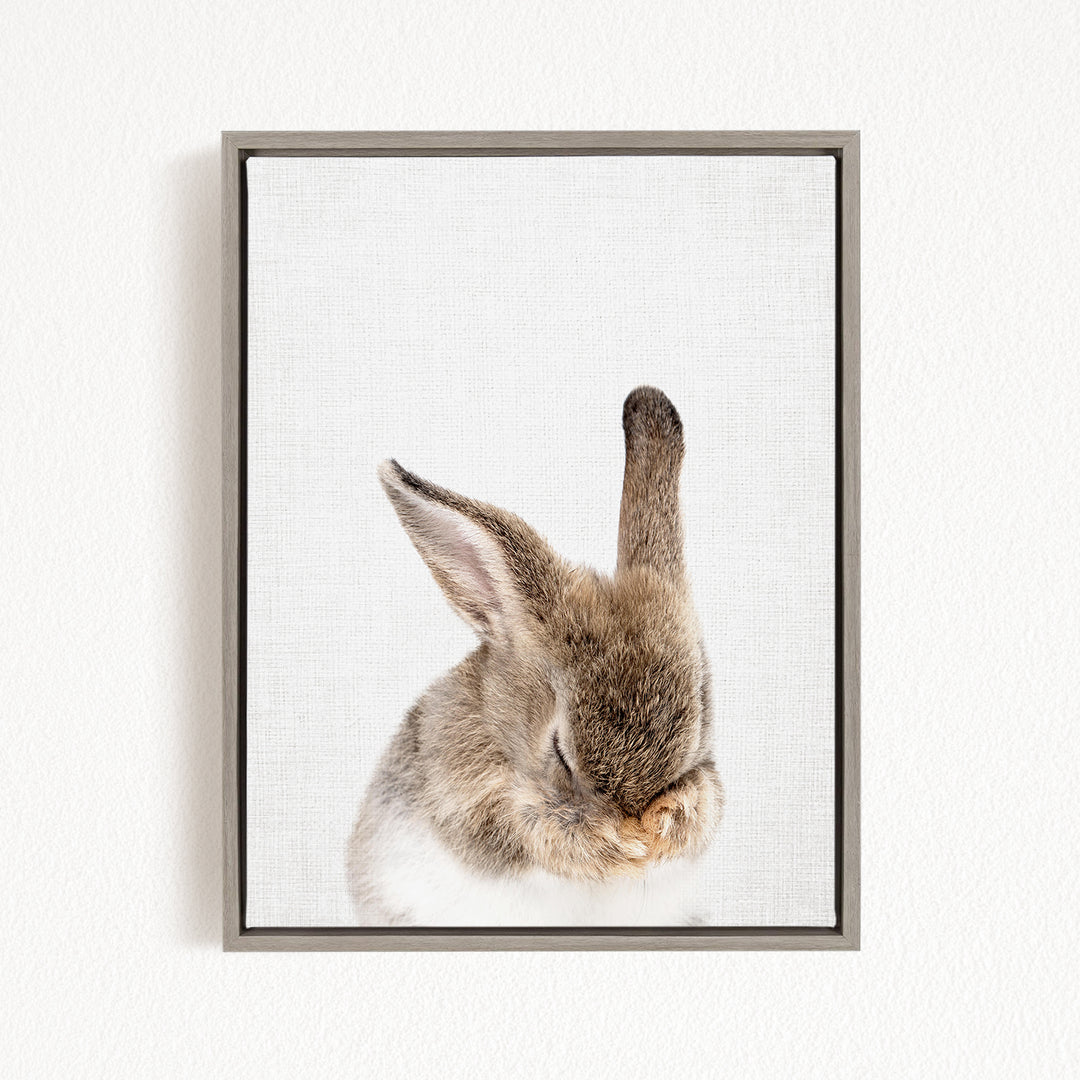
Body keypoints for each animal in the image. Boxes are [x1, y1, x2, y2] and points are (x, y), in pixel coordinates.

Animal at [347, 387, 723, 926]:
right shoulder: (474, 807)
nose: (635, 820)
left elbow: (705, 803)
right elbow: (532, 831)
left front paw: (665, 827)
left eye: (699, 724)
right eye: (560, 752)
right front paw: (617, 846)